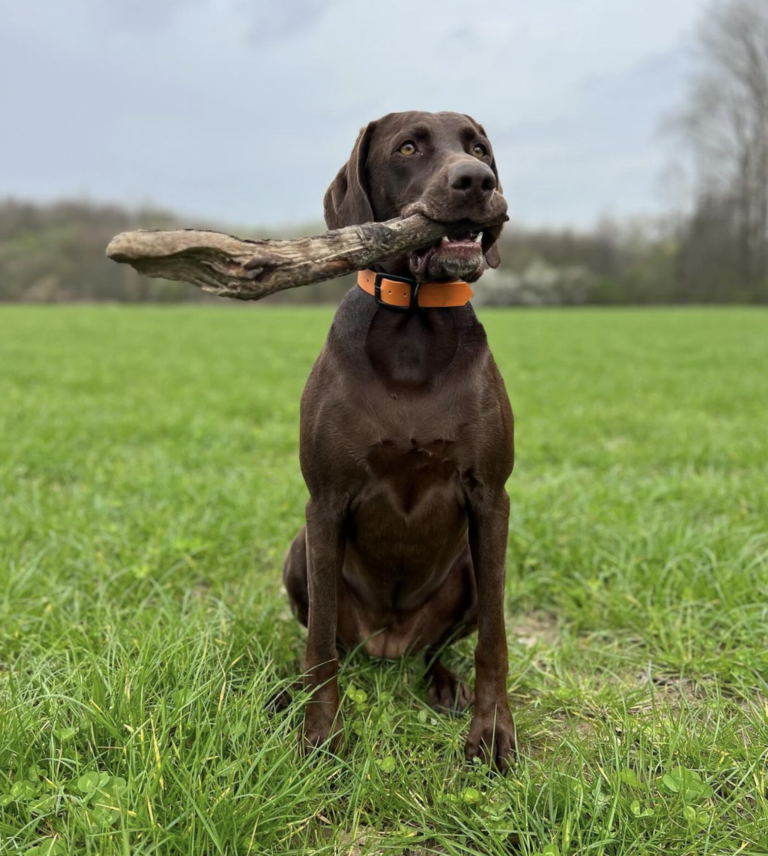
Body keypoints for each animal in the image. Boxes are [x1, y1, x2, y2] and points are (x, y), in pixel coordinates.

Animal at [282, 110, 516, 772]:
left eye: (479, 148)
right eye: (408, 147)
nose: (476, 181)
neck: (414, 323)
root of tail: (389, 646)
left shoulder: (492, 498)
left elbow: (495, 639)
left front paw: (493, 735)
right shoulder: (325, 502)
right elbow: (318, 645)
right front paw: (320, 737)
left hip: (468, 571)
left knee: (441, 647)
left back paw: (442, 683)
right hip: (299, 554)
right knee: (328, 640)